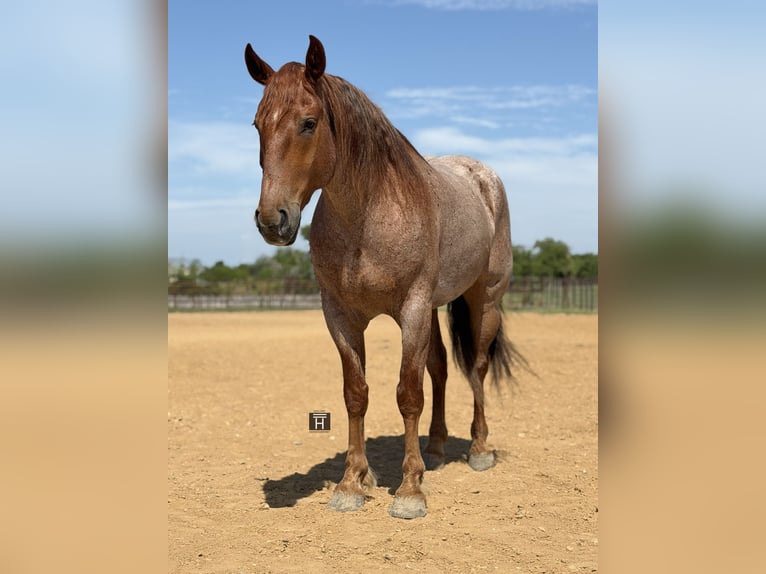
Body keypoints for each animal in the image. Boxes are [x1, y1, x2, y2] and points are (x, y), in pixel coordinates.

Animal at [245, 35, 525, 519]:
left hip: (483, 300)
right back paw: (436, 449)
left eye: (309, 123)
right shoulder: (340, 315)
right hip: (434, 309)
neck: (369, 216)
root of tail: (482, 176)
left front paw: (410, 490)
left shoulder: (411, 309)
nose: (271, 220)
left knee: (477, 367)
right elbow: (356, 393)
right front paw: (352, 483)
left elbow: (407, 393)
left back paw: (479, 450)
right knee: (440, 369)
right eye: (258, 124)